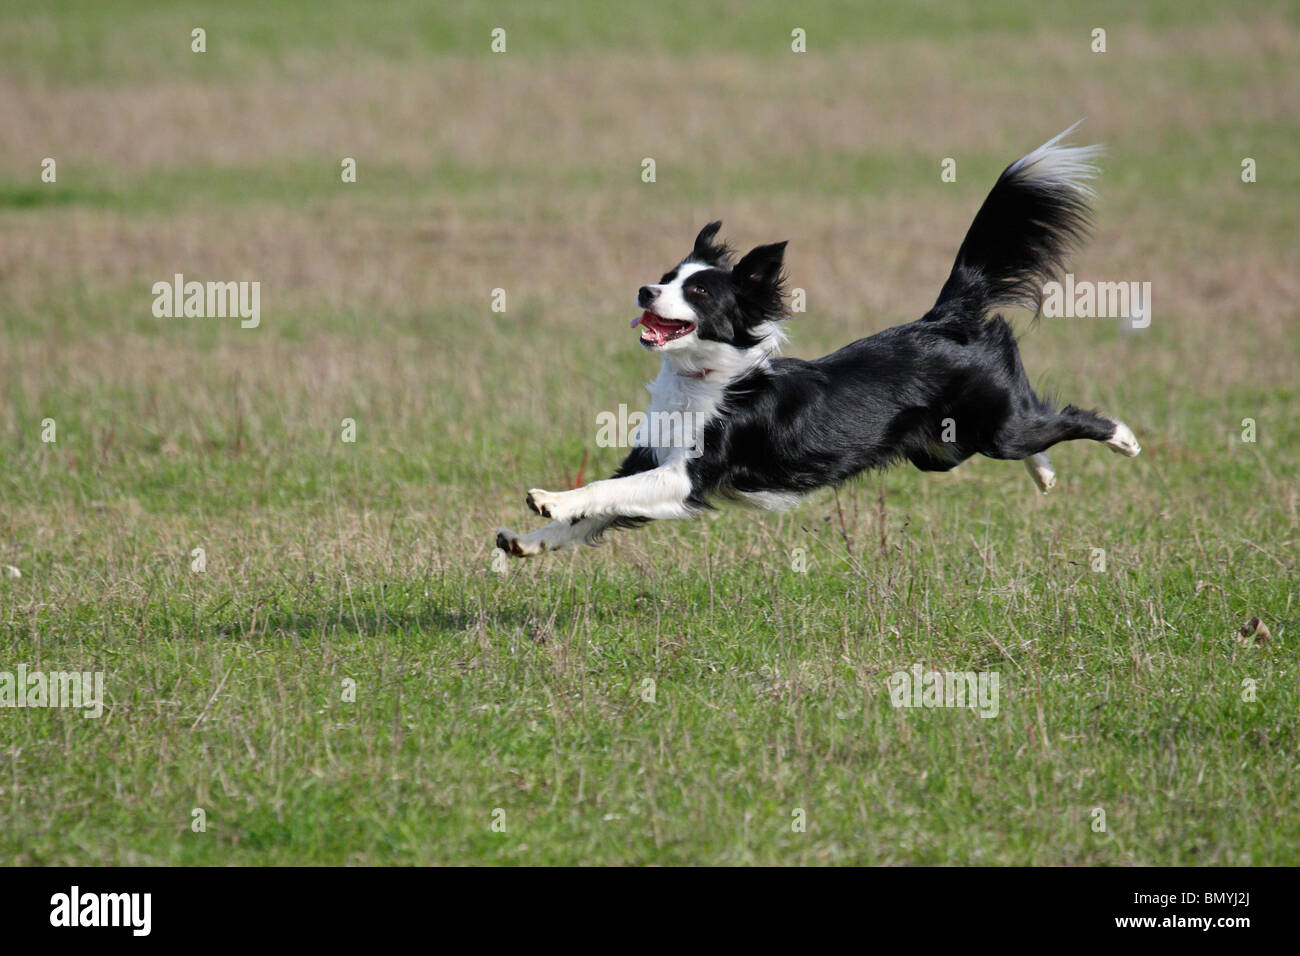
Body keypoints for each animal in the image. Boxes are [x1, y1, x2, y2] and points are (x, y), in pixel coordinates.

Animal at [493, 128, 1138, 561]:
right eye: (667, 275)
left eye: (697, 290)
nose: (644, 290)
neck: (705, 378)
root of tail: (944, 317)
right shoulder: (651, 458)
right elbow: (597, 510)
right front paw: (526, 540)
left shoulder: (687, 478)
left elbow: (604, 490)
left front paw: (548, 499)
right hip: (942, 449)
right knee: (1029, 437)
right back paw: (1045, 476)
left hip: (995, 426)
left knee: (1063, 418)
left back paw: (1124, 438)